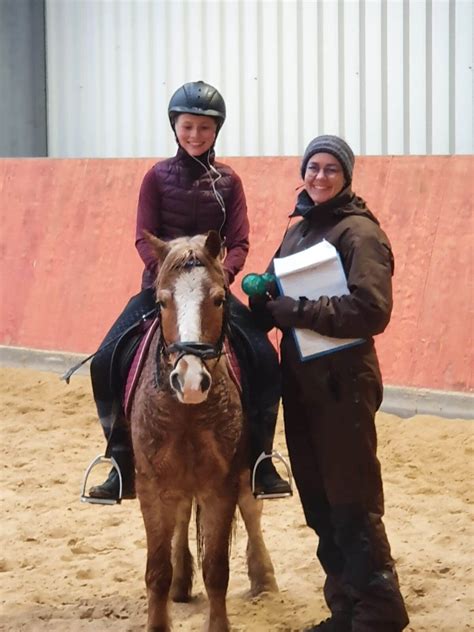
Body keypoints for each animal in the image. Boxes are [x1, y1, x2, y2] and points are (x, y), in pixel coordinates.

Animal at [129, 232, 278, 632]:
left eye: (218, 299)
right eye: (161, 301)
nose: (191, 381)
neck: (187, 413)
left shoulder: (220, 487)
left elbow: (216, 569)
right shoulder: (151, 486)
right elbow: (156, 572)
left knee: (252, 510)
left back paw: (264, 579)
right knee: (181, 515)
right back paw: (181, 581)